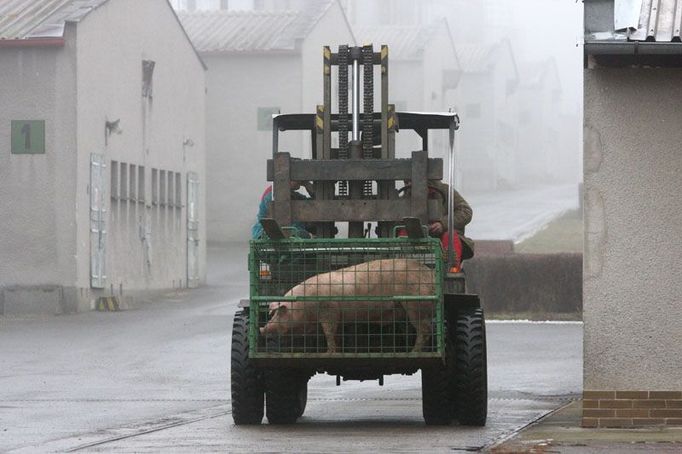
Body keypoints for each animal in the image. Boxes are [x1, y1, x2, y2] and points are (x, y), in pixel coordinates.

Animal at [258, 258, 432, 352]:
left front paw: (329, 352)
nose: (262, 329)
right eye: (273, 314)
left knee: (425, 330)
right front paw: (339, 349)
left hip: (414, 304)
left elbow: (328, 332)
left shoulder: (329, 311)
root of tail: (430, 274)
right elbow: (336, 335)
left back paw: (413, 352)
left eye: (280, 312)